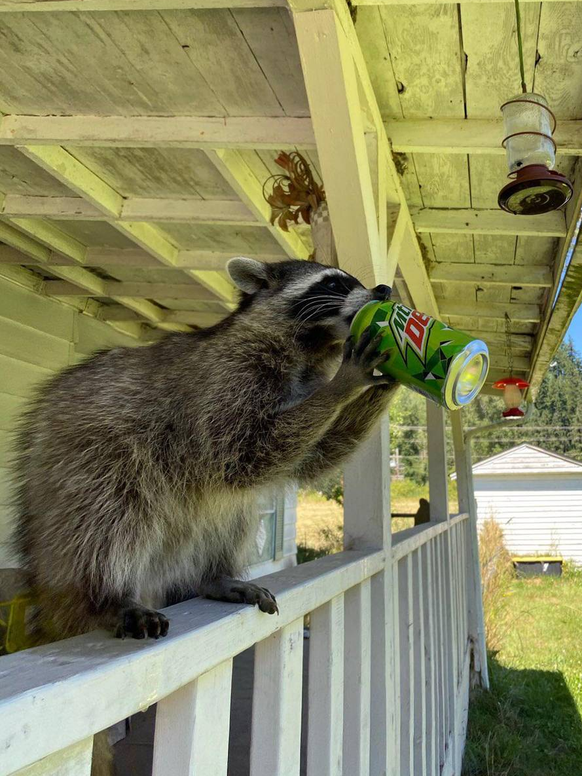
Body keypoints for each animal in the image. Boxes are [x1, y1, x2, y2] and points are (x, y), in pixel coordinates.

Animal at [13, 256, 400, 644]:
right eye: (334, 283)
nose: (384, 290)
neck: (311, 347)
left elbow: (313, 456)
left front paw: (391, 380)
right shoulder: (226, 375)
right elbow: (240, 452)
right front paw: (344, 384)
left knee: (233, 512)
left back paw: (213, 576)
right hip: (83, 458)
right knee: (106, 518)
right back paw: (107, 598)